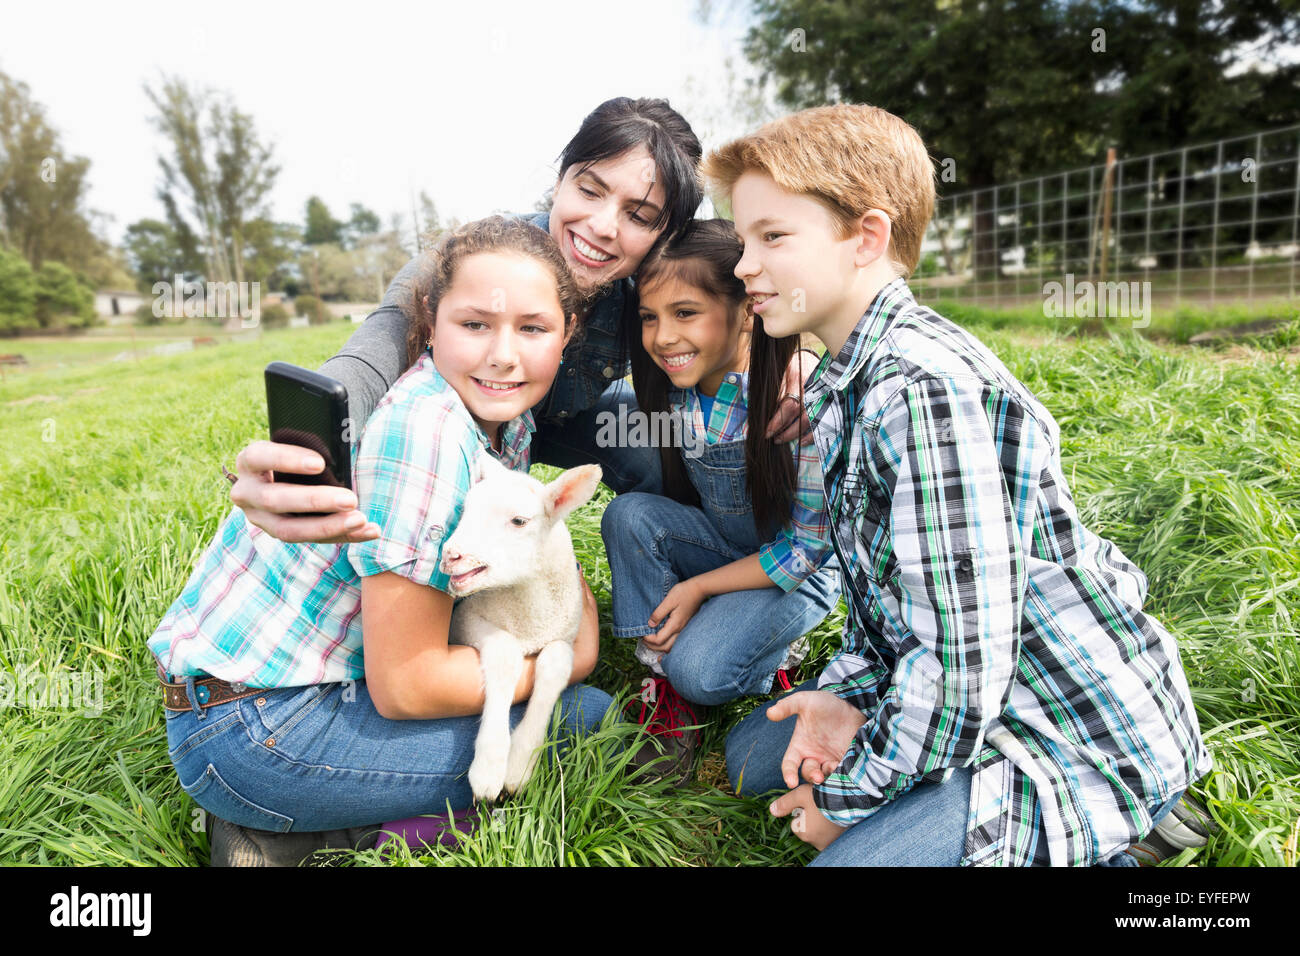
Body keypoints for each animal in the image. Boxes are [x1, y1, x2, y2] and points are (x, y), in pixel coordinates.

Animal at [436, 460, 598, 806]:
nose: (451, 555)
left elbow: (556, 662)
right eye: (465, 509)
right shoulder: (465, 620)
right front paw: (490, 767)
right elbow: (505, 651)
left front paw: (520, 765)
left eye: (519, 521)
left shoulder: (566, 635)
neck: (529, 620)